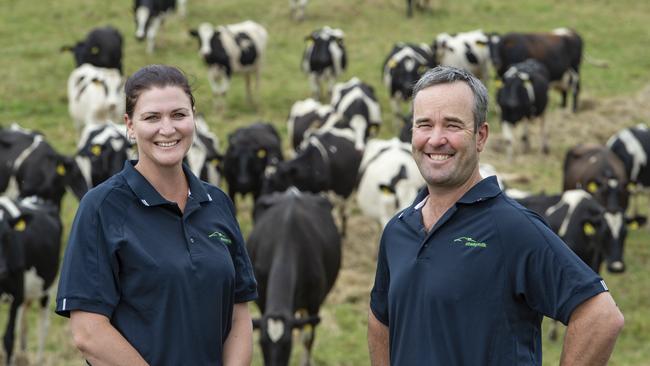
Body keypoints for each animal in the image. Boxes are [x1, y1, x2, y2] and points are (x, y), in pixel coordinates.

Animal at [0, 197, 62, 366]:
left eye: (7, 236)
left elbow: (8, 338)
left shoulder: (17, 295)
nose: (2, 270)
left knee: (42, 326)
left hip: (46, 290)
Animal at [247, 189, 340, 366]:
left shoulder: (314, 304)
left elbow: (308, 339)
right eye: (261, 343)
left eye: (287, 344)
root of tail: (292, 192)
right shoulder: (262, 300)